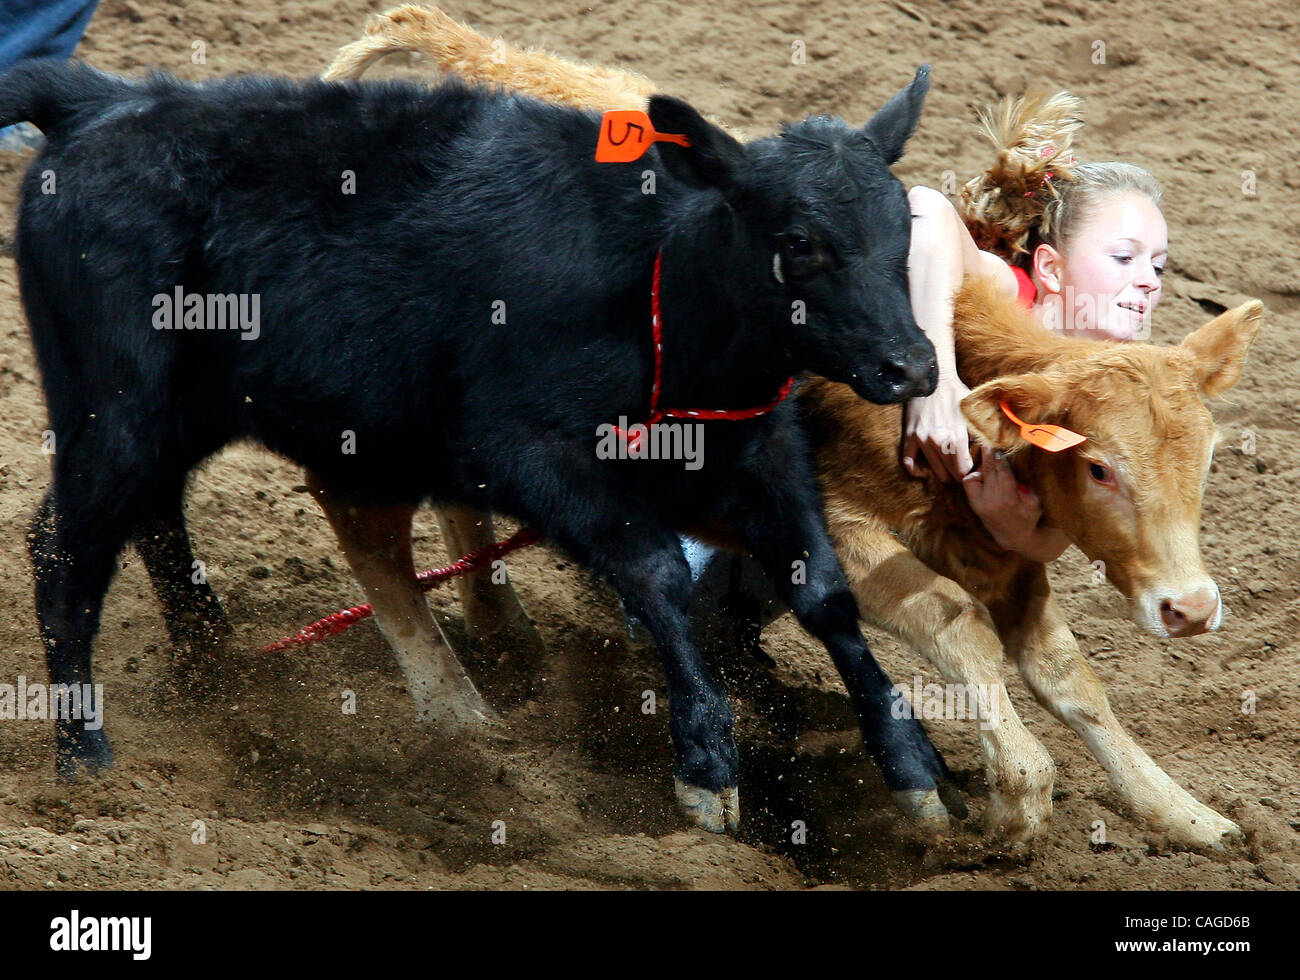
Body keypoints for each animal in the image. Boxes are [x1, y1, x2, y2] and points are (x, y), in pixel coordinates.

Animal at [2, 55, 958, 833]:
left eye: (903, 233)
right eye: (799, 242)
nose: (911, 365)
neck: (657, 286)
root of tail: (101, 103)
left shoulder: (757, 454)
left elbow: (823, 591)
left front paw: (913, 766)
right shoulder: (529, 454)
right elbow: (656, 573)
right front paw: (705, 763)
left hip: (177, 417)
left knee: (155, 519)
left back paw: (217, 670)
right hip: (113, 409)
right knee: (64, 553)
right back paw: (85, 757)